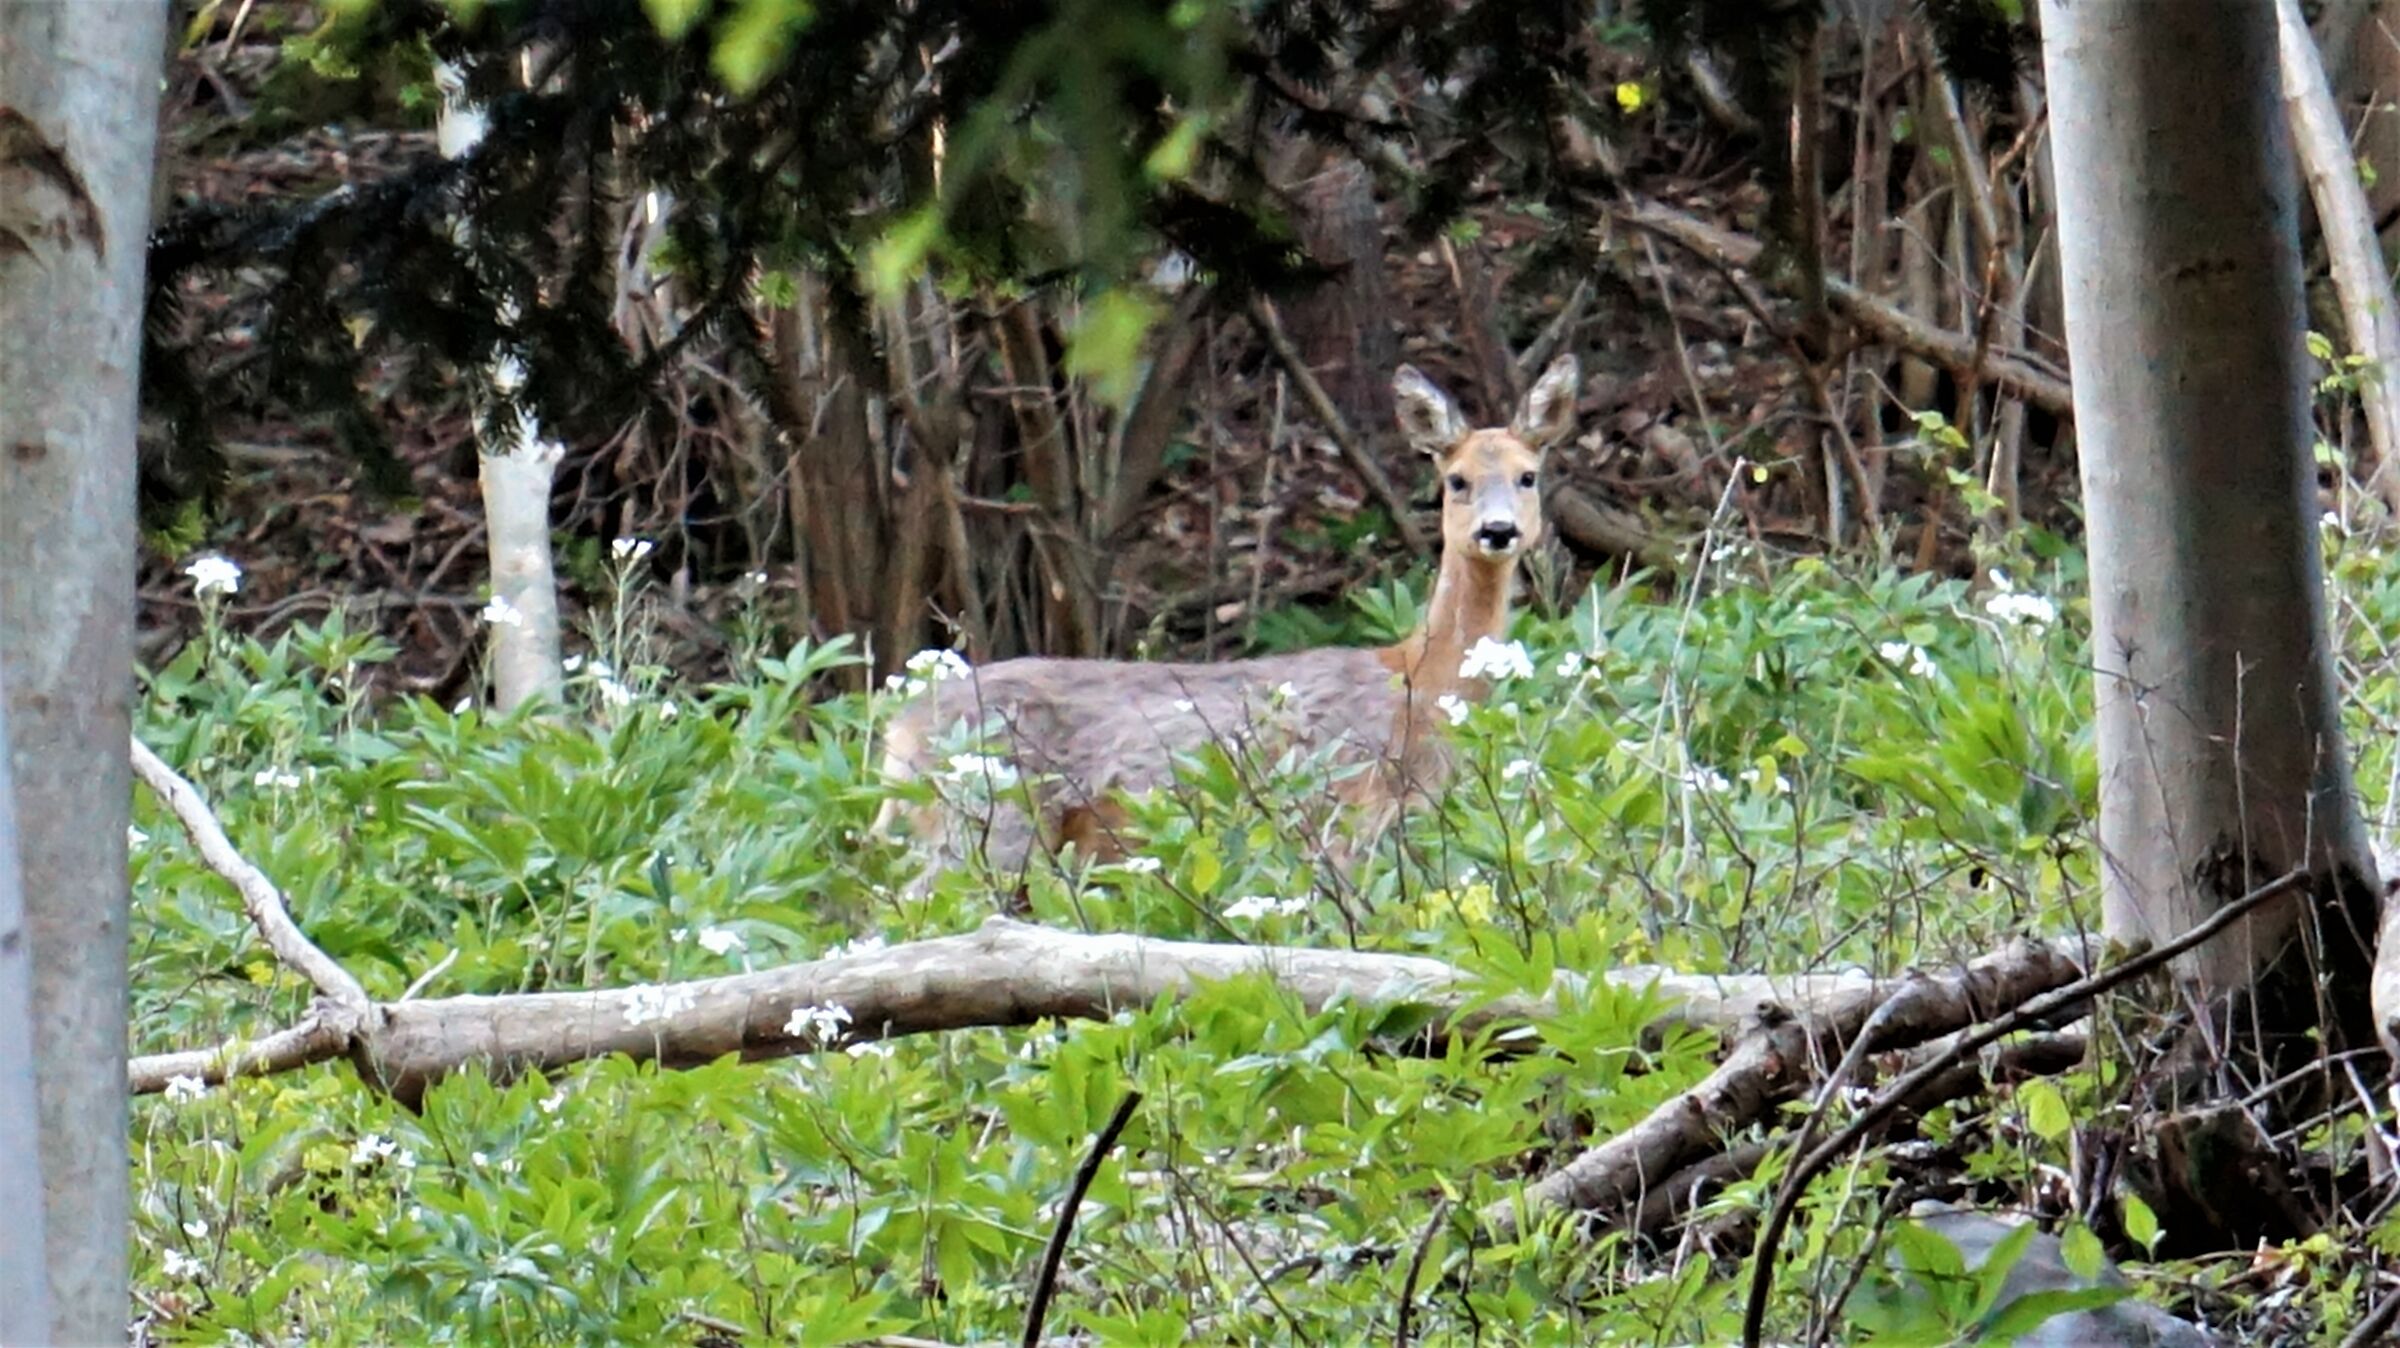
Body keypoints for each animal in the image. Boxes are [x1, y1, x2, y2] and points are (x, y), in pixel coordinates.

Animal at [871, 353, 1581, 884]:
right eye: (1456, 480)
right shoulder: (1340, 813)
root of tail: (896, 737)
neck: (1417, 685)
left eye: (1528, 475)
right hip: (987, 823)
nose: (1497, 531)